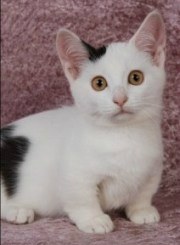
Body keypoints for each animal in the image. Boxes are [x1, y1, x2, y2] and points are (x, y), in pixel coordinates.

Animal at [0, 10, 166, 234]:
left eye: (136, 78)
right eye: (99, 83)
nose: (120, 99)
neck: (122, 134)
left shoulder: (153, 169)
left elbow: (144, 192)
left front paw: (142, 210)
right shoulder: (74, 175)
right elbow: (82, 198)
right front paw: (94, 220)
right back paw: (17, 210)